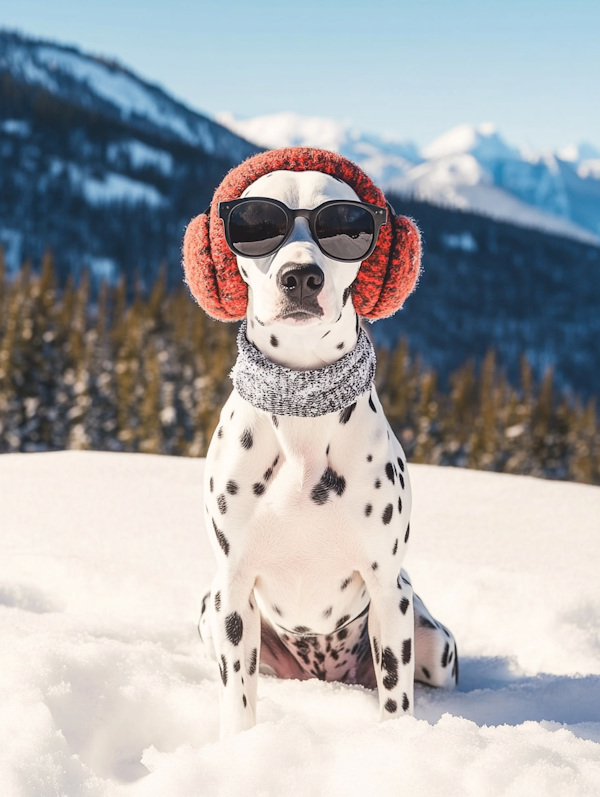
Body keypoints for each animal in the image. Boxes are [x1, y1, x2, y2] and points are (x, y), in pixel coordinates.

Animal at [195, 166, 458, 732]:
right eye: (256, 223)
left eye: (343, 226)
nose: (301, 277)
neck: (302, 413)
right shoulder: (232, 591)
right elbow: (237, 699)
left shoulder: (387, 592)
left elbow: (395, 697)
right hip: (209, 612)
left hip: (432, 639)